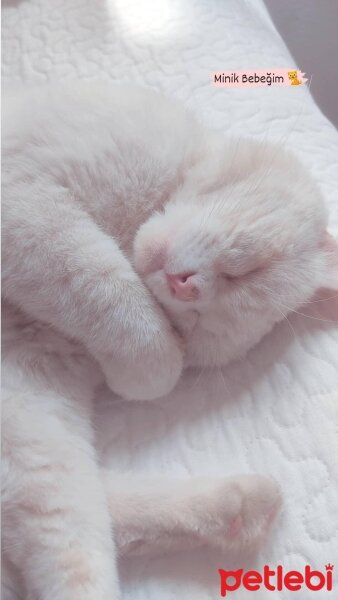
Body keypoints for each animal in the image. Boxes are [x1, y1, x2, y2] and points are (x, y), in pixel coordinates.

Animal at [2, 81, 338, 600]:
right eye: (246, 272)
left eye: (195, 324)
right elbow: (105, 286)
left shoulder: (31, 397)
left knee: (76, 513)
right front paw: (150, 363)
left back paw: (240, 506)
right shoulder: (26, 194)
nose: (185, 287)